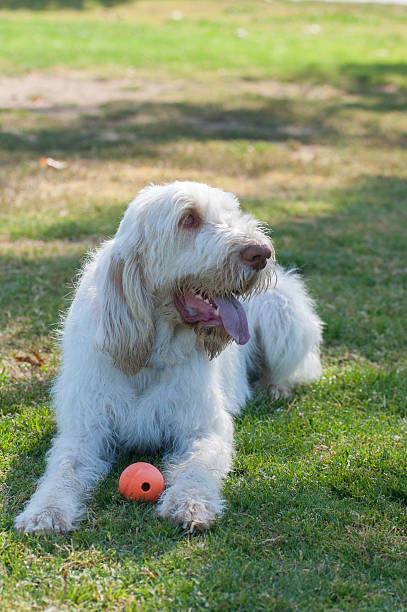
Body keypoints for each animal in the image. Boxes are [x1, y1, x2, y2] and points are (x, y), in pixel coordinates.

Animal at [14, 179, 324, 532]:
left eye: (231, 214)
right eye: (188, 219)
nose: (261, 253)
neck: (152, 356)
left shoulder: (203, 429)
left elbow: (196, 467)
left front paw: (189, 503)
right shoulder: (84, 430)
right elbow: (63, 470)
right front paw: (45, 512)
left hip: (282, 313)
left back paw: (275, 387)